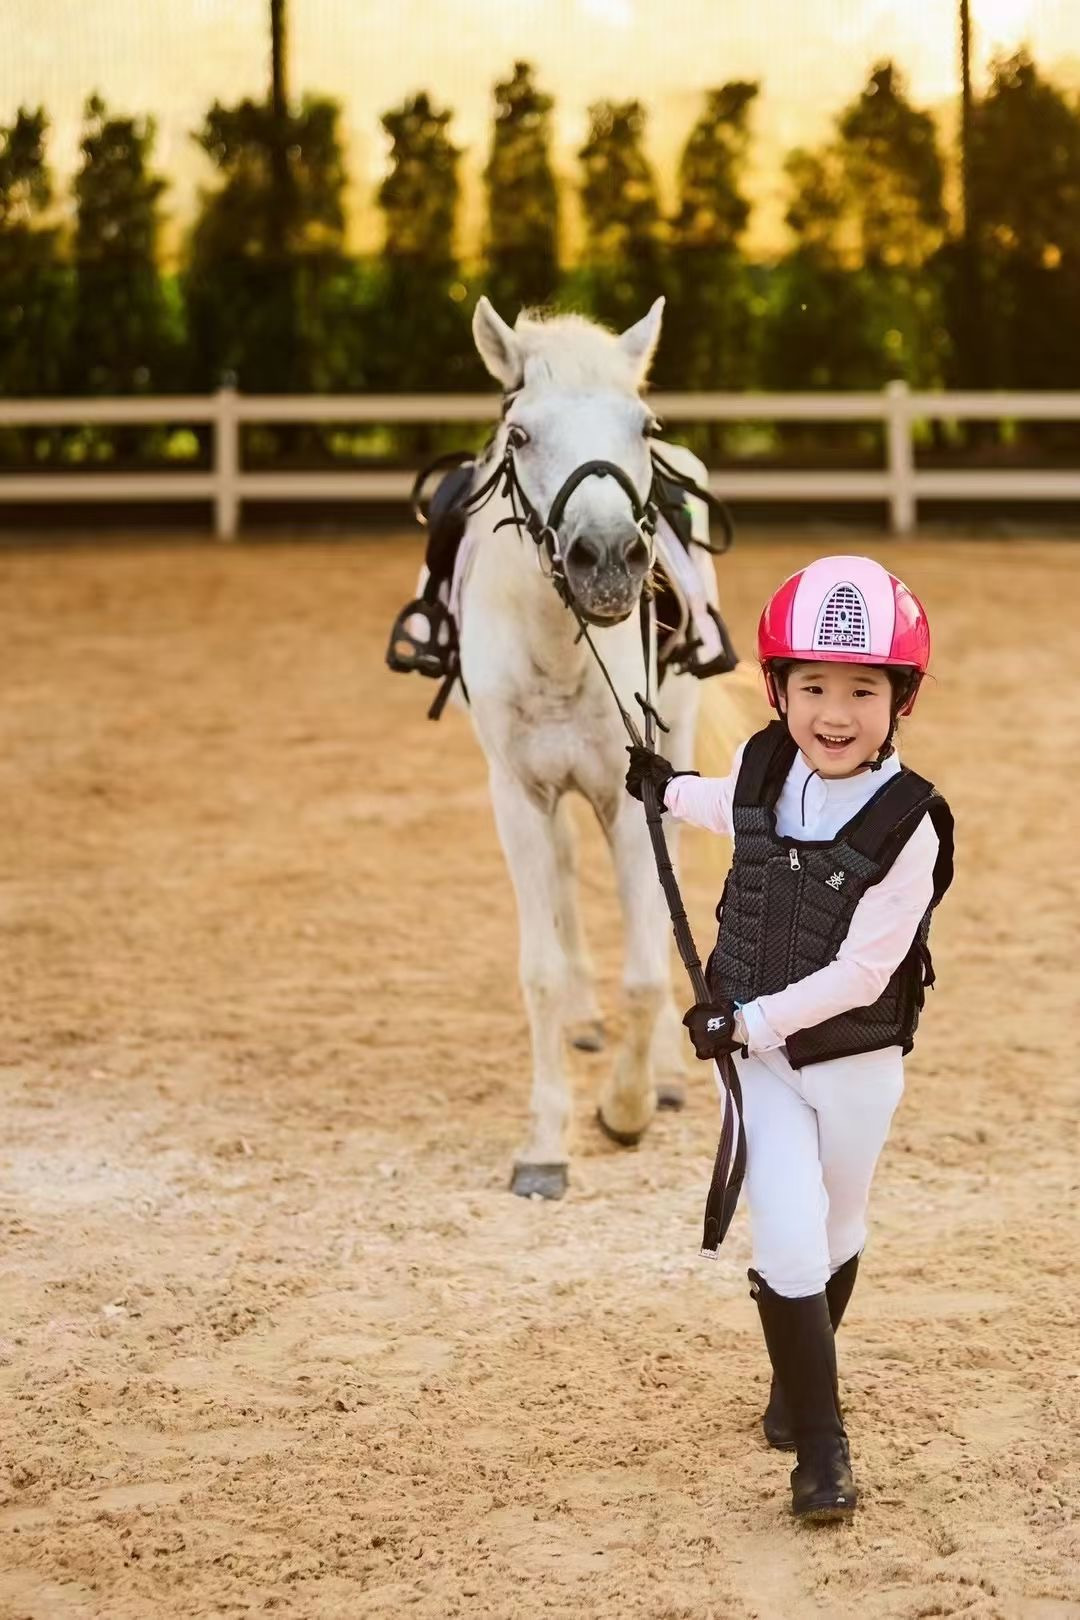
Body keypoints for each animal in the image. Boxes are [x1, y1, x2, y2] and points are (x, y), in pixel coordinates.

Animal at [456, 298, 718, 1198]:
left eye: (642, 426)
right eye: (522, 434)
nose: (606, 558)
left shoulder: (636, 794)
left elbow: (645, 968)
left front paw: (627, 1107)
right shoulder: (515, 796)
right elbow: (538, 970)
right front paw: (546, 1143)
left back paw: (665, 1071)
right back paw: (584, 1019)